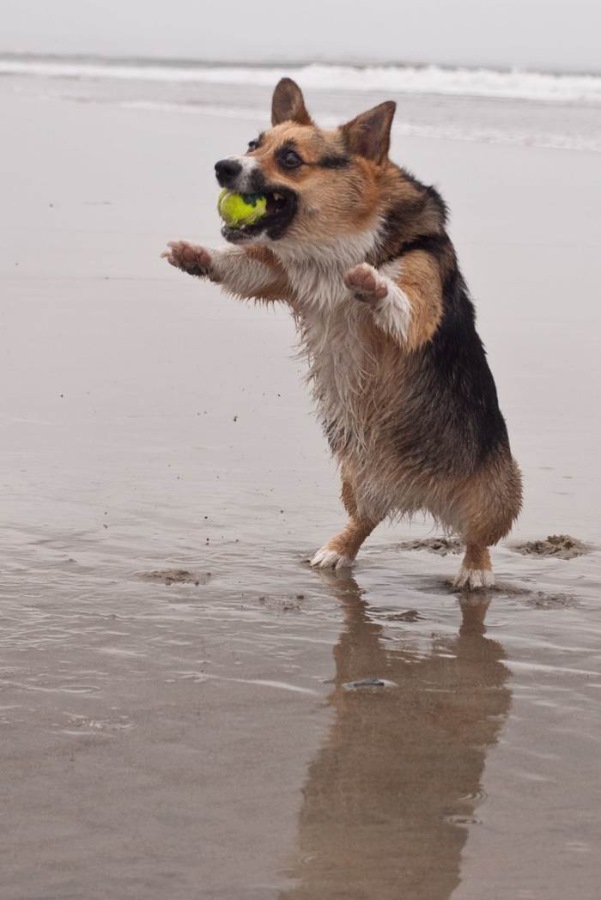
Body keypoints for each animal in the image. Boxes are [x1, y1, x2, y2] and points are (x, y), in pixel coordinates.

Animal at [163, 75, 520, 584]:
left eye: (290, 159)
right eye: (253, 144)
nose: (223, 167)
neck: (336, 242)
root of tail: (416, 495)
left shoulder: (419, 287)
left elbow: (404, 304)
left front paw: (372, 284)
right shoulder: (279, 276)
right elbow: (240, 264)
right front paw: (195, 254)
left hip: (496, 493)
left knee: (478, 538)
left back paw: (474, 572)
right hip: (355, 478)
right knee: (365, 519)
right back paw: (336, 551)